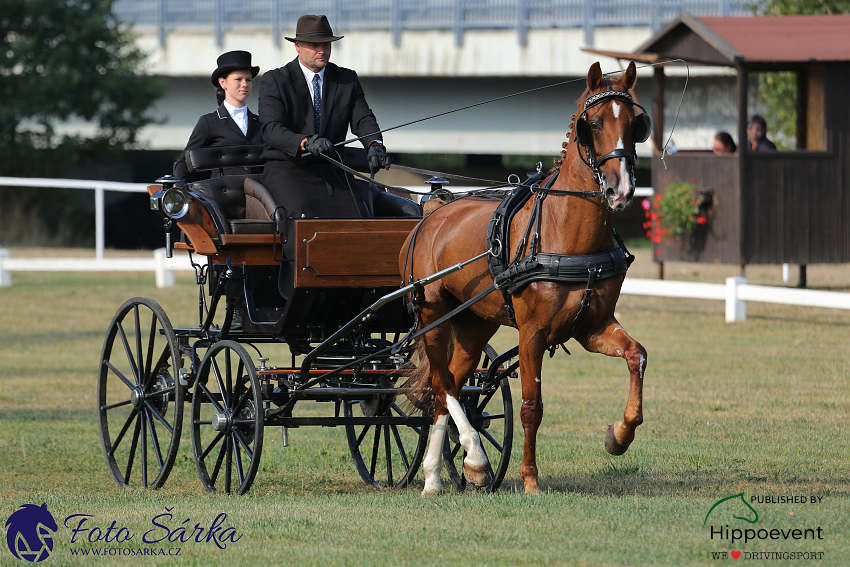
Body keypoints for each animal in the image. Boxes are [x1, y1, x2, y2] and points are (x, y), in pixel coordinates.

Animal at [400, 62, 644, 494]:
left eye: (635, 124)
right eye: (594, 123)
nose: (622, 189)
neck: (565, 232)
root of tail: (432, 214)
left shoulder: (594, 327)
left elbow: (637, 355)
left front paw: (619, 436)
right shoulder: (532, 333)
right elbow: (532, 405)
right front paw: (530, 479)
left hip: (473, 323)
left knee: (449, 386)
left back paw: (438, 474)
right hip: (432, 316)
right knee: (443, 384)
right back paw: (473, 460)